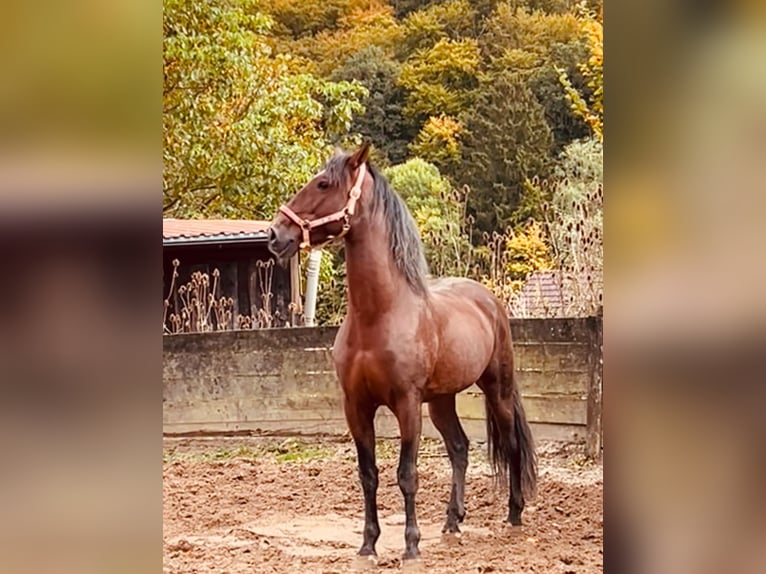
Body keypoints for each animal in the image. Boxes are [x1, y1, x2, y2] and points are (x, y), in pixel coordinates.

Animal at [270, 143, 540, 564]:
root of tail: (488, 300)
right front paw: (368, 545)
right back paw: (452, 521)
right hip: (442, 400)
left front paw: (411, 546)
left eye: (323, 183)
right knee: (459, 448)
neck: (378, 316)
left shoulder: (407, 403)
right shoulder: (356, 406)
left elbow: (406, 475)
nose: (275, 234)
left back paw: (513, 514)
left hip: (497, 388)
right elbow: (369, 475)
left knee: (510, 445)